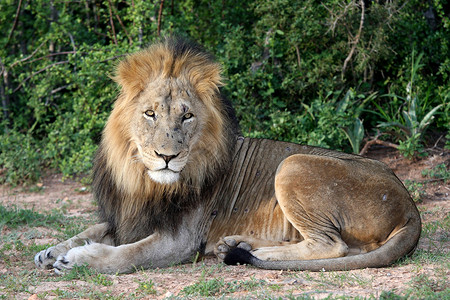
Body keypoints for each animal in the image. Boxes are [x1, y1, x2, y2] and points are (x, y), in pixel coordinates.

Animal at [35, 37, 422, 274]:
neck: (145, 182)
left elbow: (129, 254)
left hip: (293, 164)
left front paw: (77, 259)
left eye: (187, 116)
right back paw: (236, 244)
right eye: (150, 114)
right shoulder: (129, 217)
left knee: (333, 247)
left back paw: (258, 253)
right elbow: (92, 228)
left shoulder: (180, 240)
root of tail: (410, 206)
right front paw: (51, 250)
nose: (166, 156)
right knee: (346, 248)